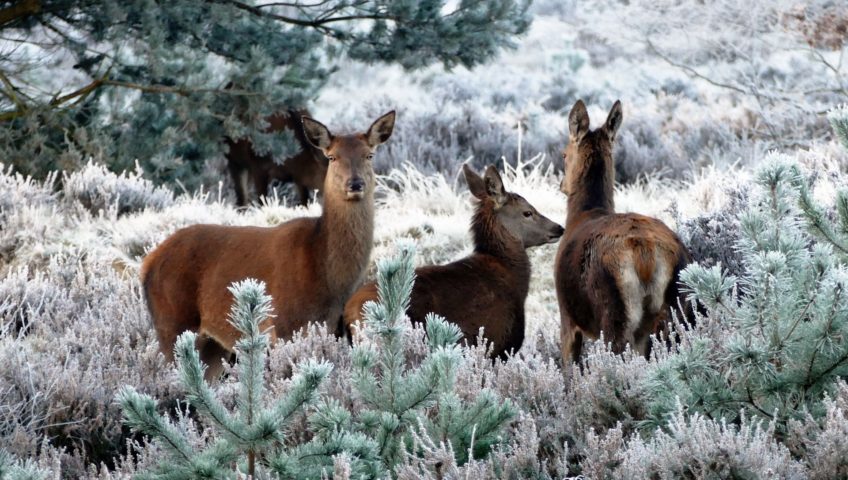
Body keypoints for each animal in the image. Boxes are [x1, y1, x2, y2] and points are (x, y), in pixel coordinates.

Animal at [142, 111, 396, 379]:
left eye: (369, 155)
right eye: (332, 157)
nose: (355, 184)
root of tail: (147, 264)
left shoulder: (335, 329)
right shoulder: (282, 325)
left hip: (212, 344)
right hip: (172, 322)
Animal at [554, 100, 692, 377]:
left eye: (564, 154)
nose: (562, 184)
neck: (582, 215)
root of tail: (646, 254)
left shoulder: (567, 315)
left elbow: (568, 372)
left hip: (614, 310)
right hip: (675, 310)